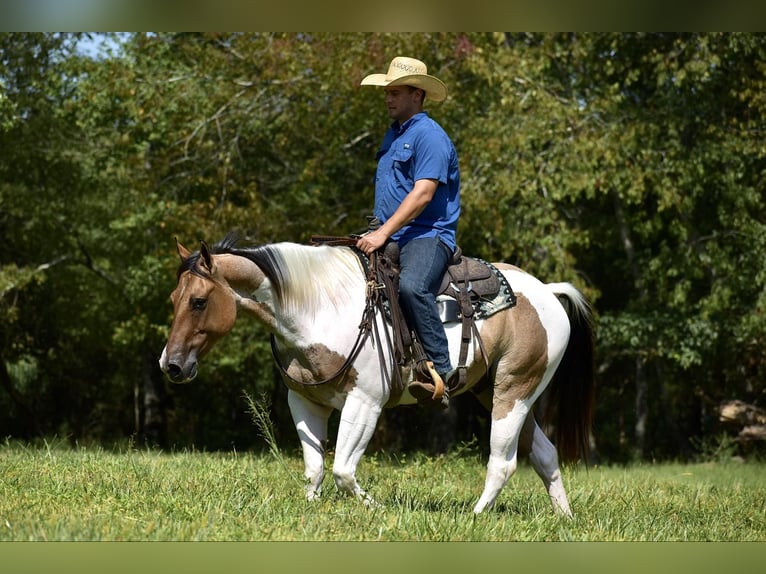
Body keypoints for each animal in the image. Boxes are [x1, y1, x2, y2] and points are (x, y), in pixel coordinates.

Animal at [159, 234, 596, 516]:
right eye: (174, 299)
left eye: (199, 301)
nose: (171, 365)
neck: (318, 307)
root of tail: (547, 291)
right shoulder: (304, 401)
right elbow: (315, 469)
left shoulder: (365, 401)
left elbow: (342, 470)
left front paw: (375, 507)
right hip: (492, 392)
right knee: (544, 453)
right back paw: (564, 518)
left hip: (513, 391)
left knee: (502, 462)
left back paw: (476, 515)